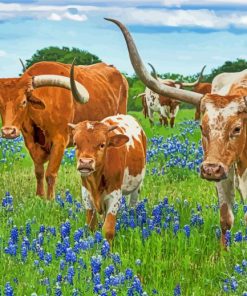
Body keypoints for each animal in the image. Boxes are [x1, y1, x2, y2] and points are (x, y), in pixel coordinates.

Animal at [0, 60, 127, 199]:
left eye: (23, 102)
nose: (8, 131)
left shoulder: (59, 141)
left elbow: (50, 174)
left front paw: (50, 200)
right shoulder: (31, 143)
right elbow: (39, 172)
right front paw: (39, 196)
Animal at [69, 114, 147, 242]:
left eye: (102, 144)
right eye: (75, 143)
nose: (85, 162)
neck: (96, 181)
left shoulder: (115, 195)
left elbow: (108, 229)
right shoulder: (86, 194)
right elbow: (91, 226)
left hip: (137, 187)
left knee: (132, 205)